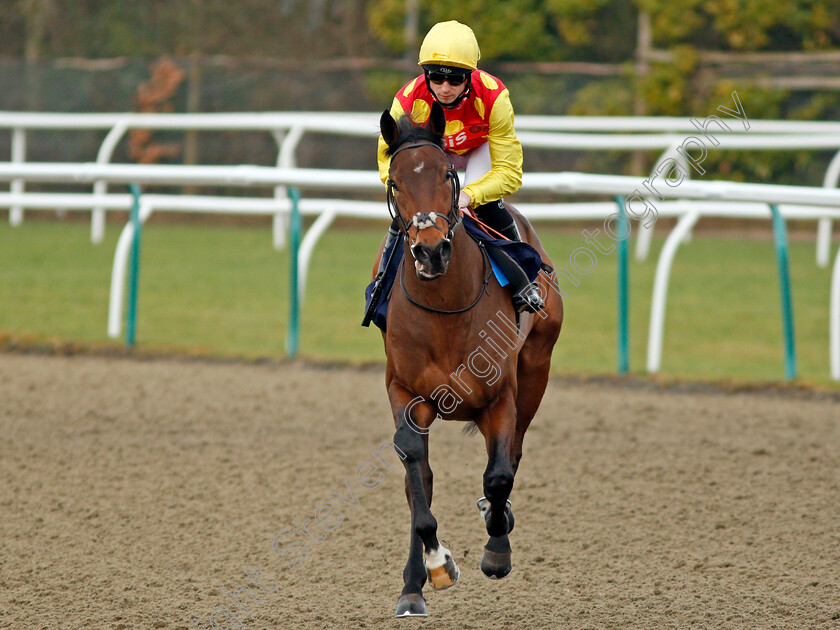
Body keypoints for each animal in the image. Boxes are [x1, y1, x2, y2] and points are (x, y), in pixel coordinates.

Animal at [376, 101, 560, 620]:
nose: (430, 250)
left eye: (447, 174)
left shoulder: (501, 395)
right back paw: (414, 584)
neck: (445, 307)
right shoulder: (405, 391)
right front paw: (435, 565)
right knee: (420, 477)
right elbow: (415, 472)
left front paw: (497, 550)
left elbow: (498, 474)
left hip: (536, 369)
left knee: (513, 452)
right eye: (395, 181)